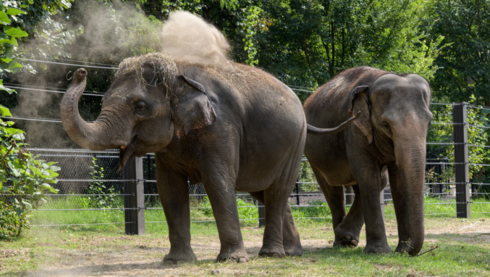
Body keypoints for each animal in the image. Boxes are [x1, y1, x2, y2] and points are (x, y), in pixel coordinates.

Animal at [61, 52, 358, 264]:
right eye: (103, 101)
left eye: (140, 107)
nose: (79, 72)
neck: (178, 74)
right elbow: (170, 190)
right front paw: (176, 262)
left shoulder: (222, 127)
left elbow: (218, 183)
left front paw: (233, 260)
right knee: (267, 192)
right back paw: (292, 252)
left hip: (296, 143)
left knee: (278, 190)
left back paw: (271, 255)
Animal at [302, 66, 432, 254]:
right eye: (386, 125)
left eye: (429, 123)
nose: (408, 248)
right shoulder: (354, 125)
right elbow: (367, 176)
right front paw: (380, 252)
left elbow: (398, 181)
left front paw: (400, 250)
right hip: (314, 155)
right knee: (333, 190)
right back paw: (341, 241)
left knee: (377, 182)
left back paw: (347, 238)